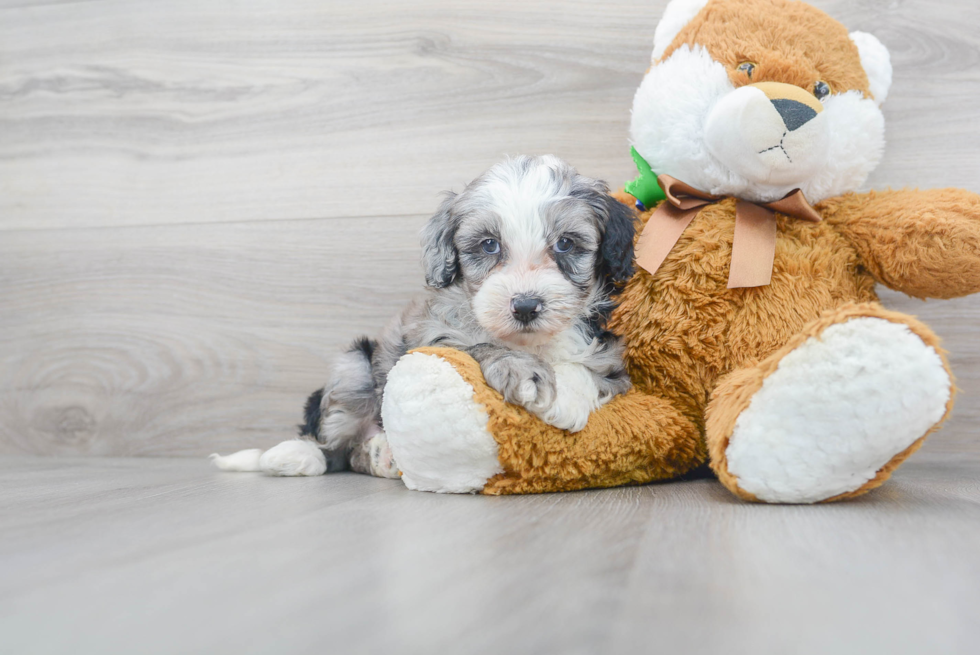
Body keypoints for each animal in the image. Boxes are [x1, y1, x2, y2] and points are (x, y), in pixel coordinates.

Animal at [213, 156, 636, 480]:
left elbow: (591, 370)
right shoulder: (436, 336)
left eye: (566, 243)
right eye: (489, 245)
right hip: (354, 368)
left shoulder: (612, 357)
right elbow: (480, 347)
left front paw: (565, 397)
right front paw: (522, 371)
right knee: (330, 442)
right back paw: (294, 455)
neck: (530, 342)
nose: (526, 306)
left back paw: (382, 454)